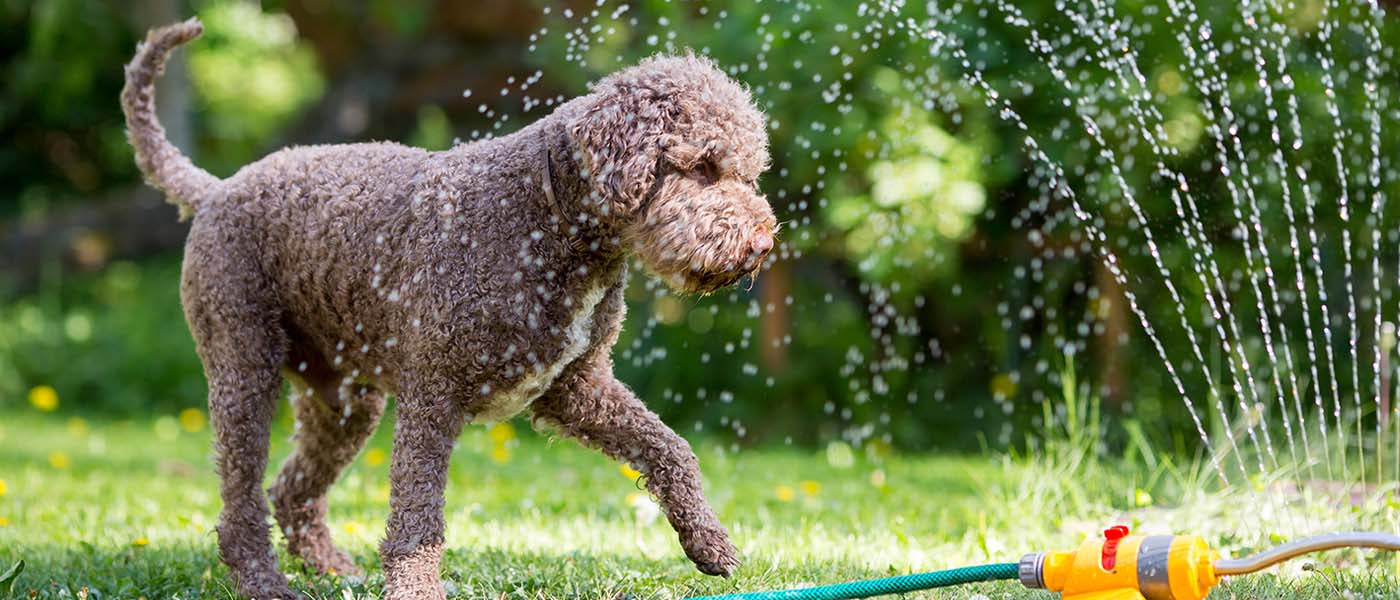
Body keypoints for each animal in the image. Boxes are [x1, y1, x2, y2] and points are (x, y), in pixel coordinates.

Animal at [120, 16, 778, 595]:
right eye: (703, 166)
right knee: (241, 503)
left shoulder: (575, 387)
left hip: (344, 401)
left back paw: (331, 568)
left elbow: (671, 448)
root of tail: (216, 189)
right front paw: (416, 589)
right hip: (245, 370)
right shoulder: (431, 397)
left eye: (747, 172)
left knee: (292, 490)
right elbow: (418, 521)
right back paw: (263, 582)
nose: (762, 244)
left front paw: (708, 541)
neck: (542, 219)